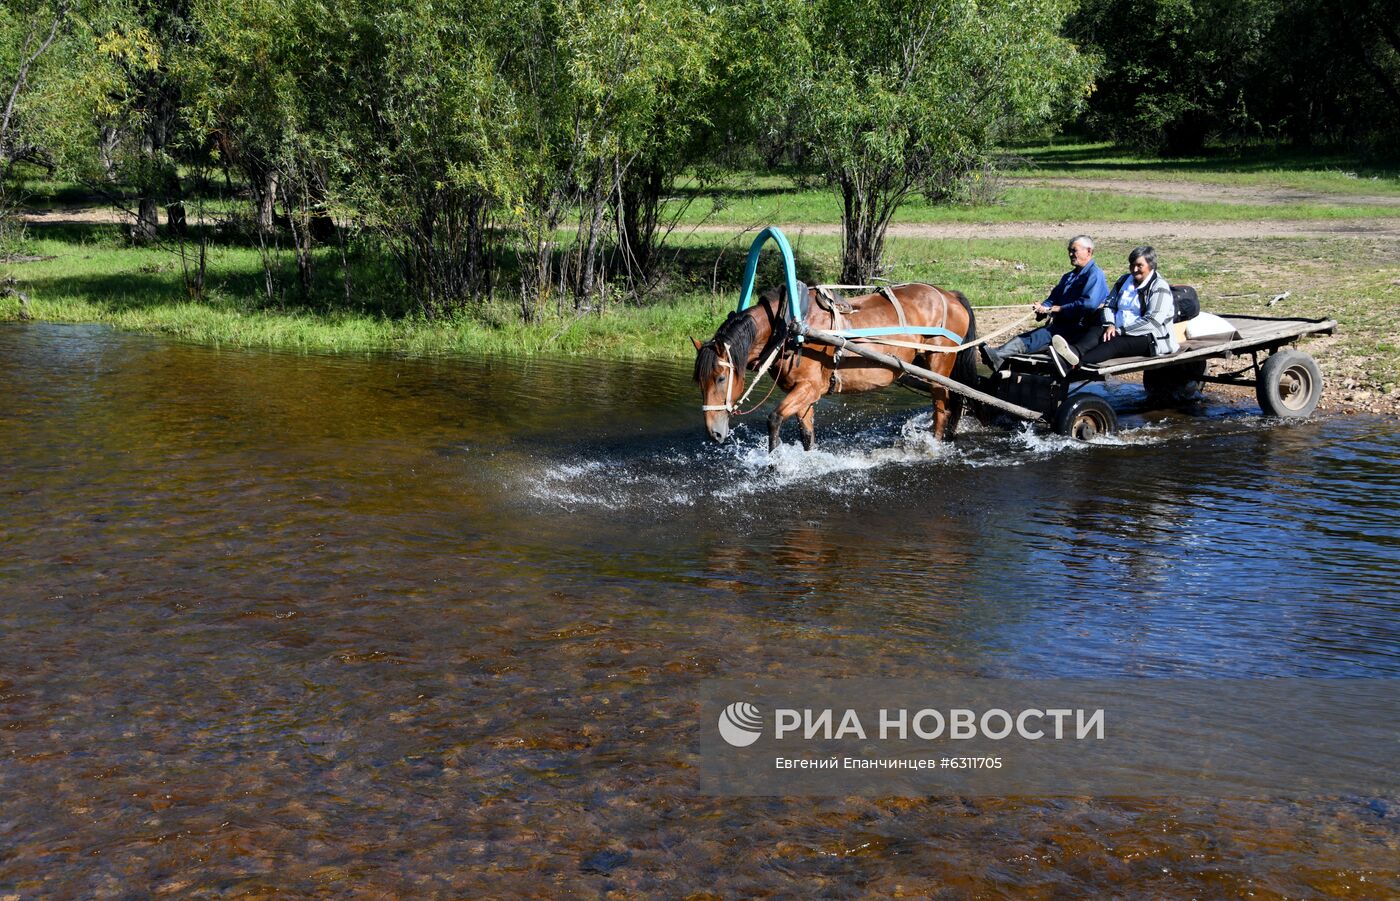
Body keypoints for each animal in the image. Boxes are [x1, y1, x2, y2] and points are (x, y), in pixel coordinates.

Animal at [694, 284, 980, 447]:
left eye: (721, 378)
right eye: (699, 382)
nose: (714, 433)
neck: (790, 328)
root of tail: (950, 296)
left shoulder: (809, 387)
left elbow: (774, 421)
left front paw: (775, 465)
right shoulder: (803, 393)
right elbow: (806, 434)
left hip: (939, 366)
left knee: (942, 409)